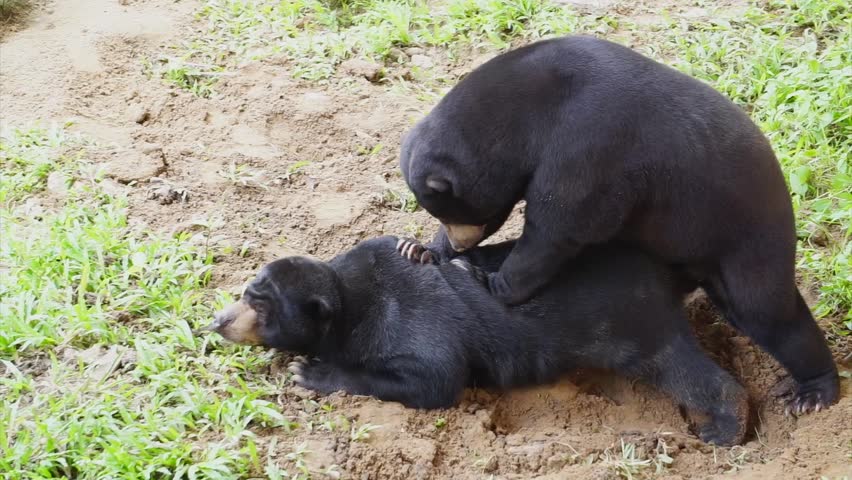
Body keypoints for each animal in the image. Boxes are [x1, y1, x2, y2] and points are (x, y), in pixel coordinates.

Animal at [203, 236, 748, 446]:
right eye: (245, 292)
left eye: (261, 306)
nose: (217, 321)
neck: (347, 298)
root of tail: (666, 270)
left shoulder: (412, 322)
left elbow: (435, 380)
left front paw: (313, 370)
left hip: (636, 324)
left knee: (683, 370)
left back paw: (725, 427)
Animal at [400, 33, 840, 412]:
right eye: (440, 216)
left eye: (452, 211)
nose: (458, 244)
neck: (526, 111)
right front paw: (418, 249)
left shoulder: (588, 149)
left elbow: (558, 227)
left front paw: (483, 279)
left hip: (748, 238)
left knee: (768, 314)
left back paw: (813, 394)